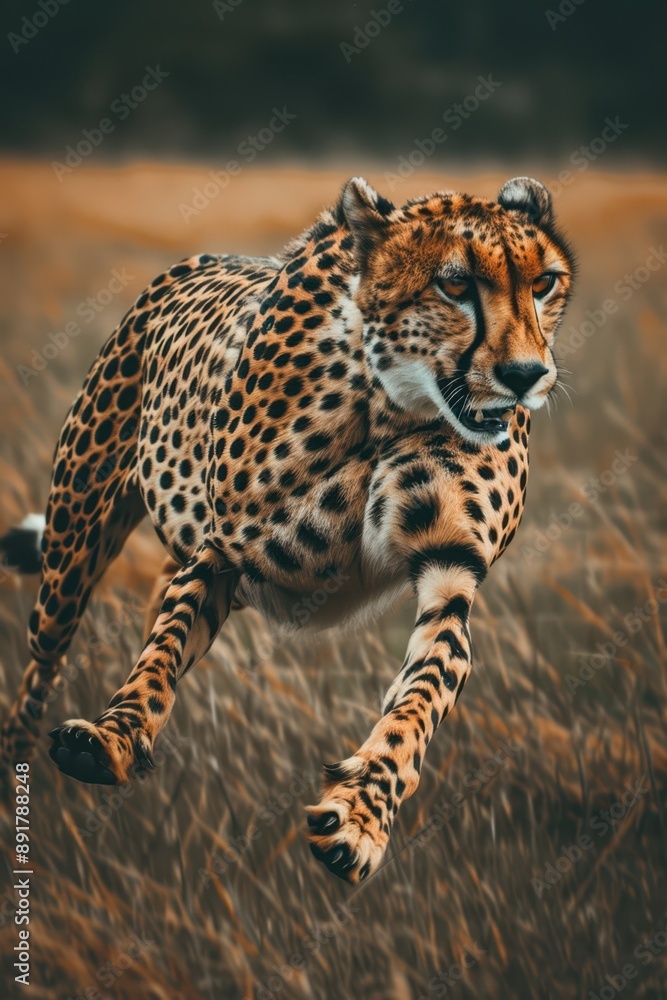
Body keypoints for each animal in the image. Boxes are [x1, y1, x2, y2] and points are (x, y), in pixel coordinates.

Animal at [0, 175, 575, 884]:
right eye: (456, 284)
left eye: (544, 283)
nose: (527, 376)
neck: (389, 402)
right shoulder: (226, 550)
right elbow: (163, 650)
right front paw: (112, 736)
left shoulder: (451, 570)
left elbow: (420, 696)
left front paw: (360, 817)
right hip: (69, 557)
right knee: (44, 658)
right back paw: (18, 774)